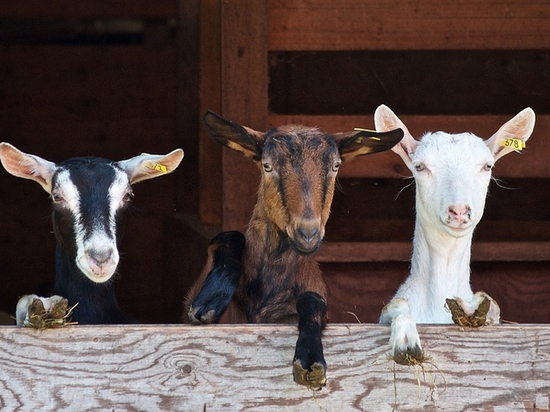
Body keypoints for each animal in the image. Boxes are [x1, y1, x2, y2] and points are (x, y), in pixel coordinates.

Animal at [187, 111, 406, 388]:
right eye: (267, 166)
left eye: (336, 166)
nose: (308, 233)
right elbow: (228, 236)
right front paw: (210, 300)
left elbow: (312, 300)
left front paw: (310, 359)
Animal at [378, 104, 536, 362]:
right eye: (419, 166)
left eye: (487, 166)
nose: (459, 211)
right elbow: (396, 304)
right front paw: (406, 341)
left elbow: (492, 306)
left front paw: (473, 308)